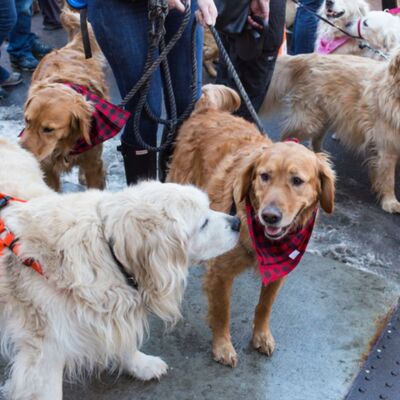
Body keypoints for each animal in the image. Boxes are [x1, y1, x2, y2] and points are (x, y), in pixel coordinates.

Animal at [0, 139, 239, 398]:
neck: (107, 248)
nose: (237, 222)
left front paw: (140, 364)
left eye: (209, 208)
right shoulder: (46, 350)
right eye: (203, 223)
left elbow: (126, 342)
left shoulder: (114, 311)